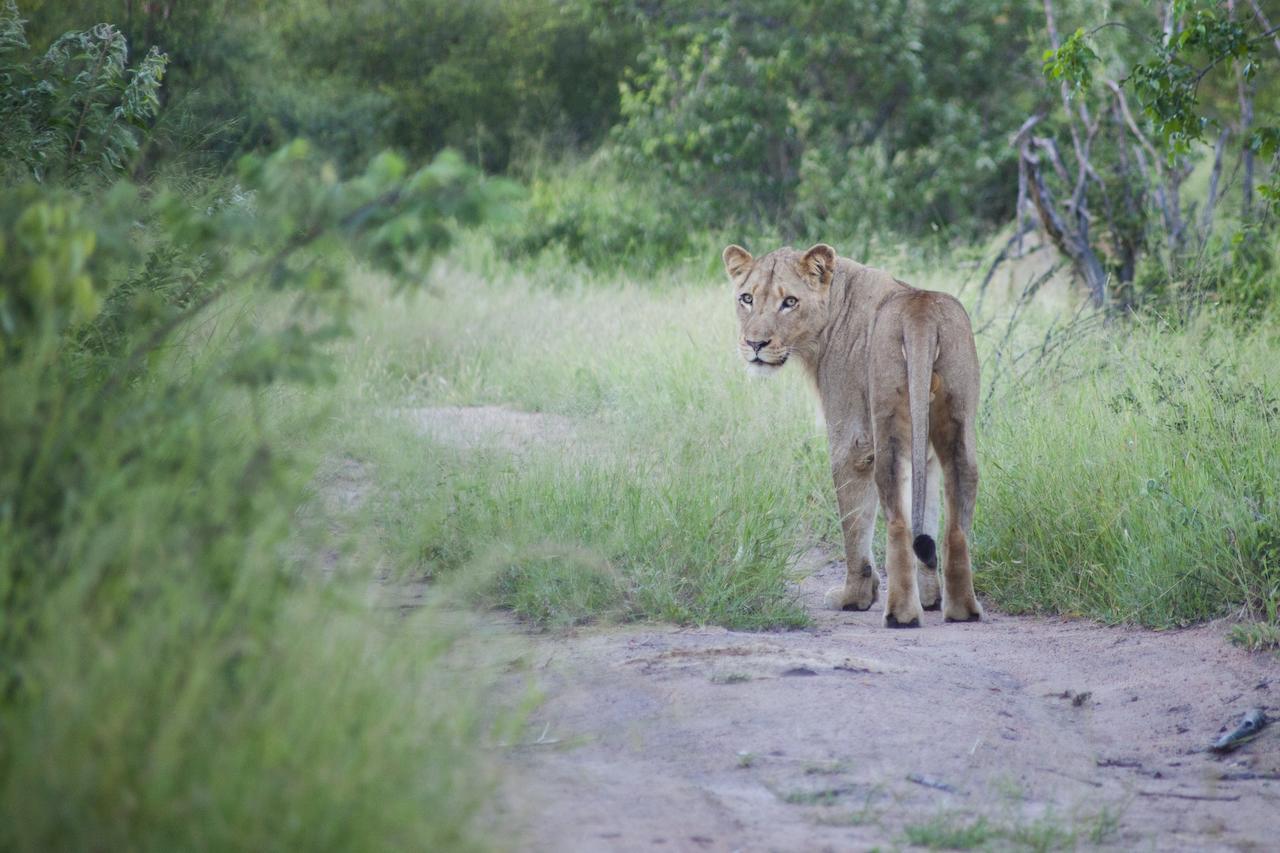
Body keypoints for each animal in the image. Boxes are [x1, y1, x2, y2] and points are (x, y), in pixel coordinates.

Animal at [727, 240, 983, 625]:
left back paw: (900, 614)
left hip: (887, 420)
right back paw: (961, 611)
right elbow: (928, 513)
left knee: (897, 523)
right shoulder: (925, 452)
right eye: (746, 298)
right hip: (958, 423)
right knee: (956, 523)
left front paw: (856, 596)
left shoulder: (852, 440)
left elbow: (853, 525)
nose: (755, 344)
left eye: (790, 302)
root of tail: (921, 312)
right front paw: (931, 597)